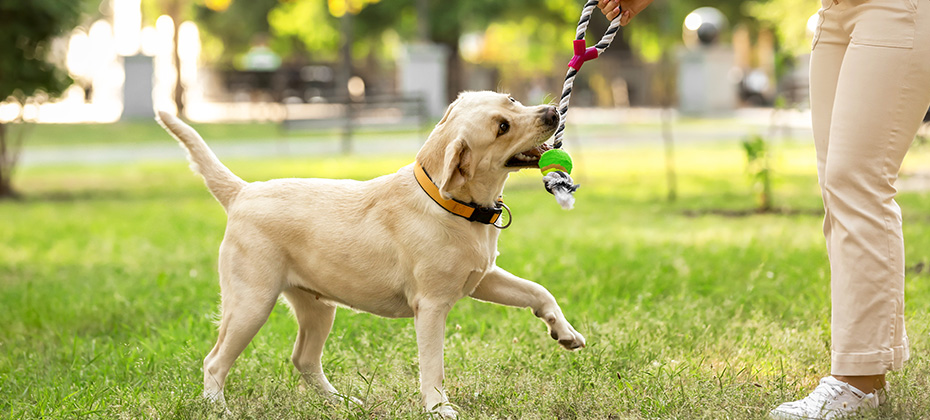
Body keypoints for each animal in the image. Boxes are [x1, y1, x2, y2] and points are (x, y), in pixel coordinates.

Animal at [156, 91, 584, 416]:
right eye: (501, 127)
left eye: (510, 100)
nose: (552, 112)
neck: (449, 203)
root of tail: (243, 191)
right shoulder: (431, 306)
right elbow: (433, 365)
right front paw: (439, 407)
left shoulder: (483, 278)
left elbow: (538, 291)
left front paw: (565, 332)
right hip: (251, 303)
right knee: (215, 361)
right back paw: (218, 407)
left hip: (317, 307)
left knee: (303, 359)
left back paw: (341, 403)